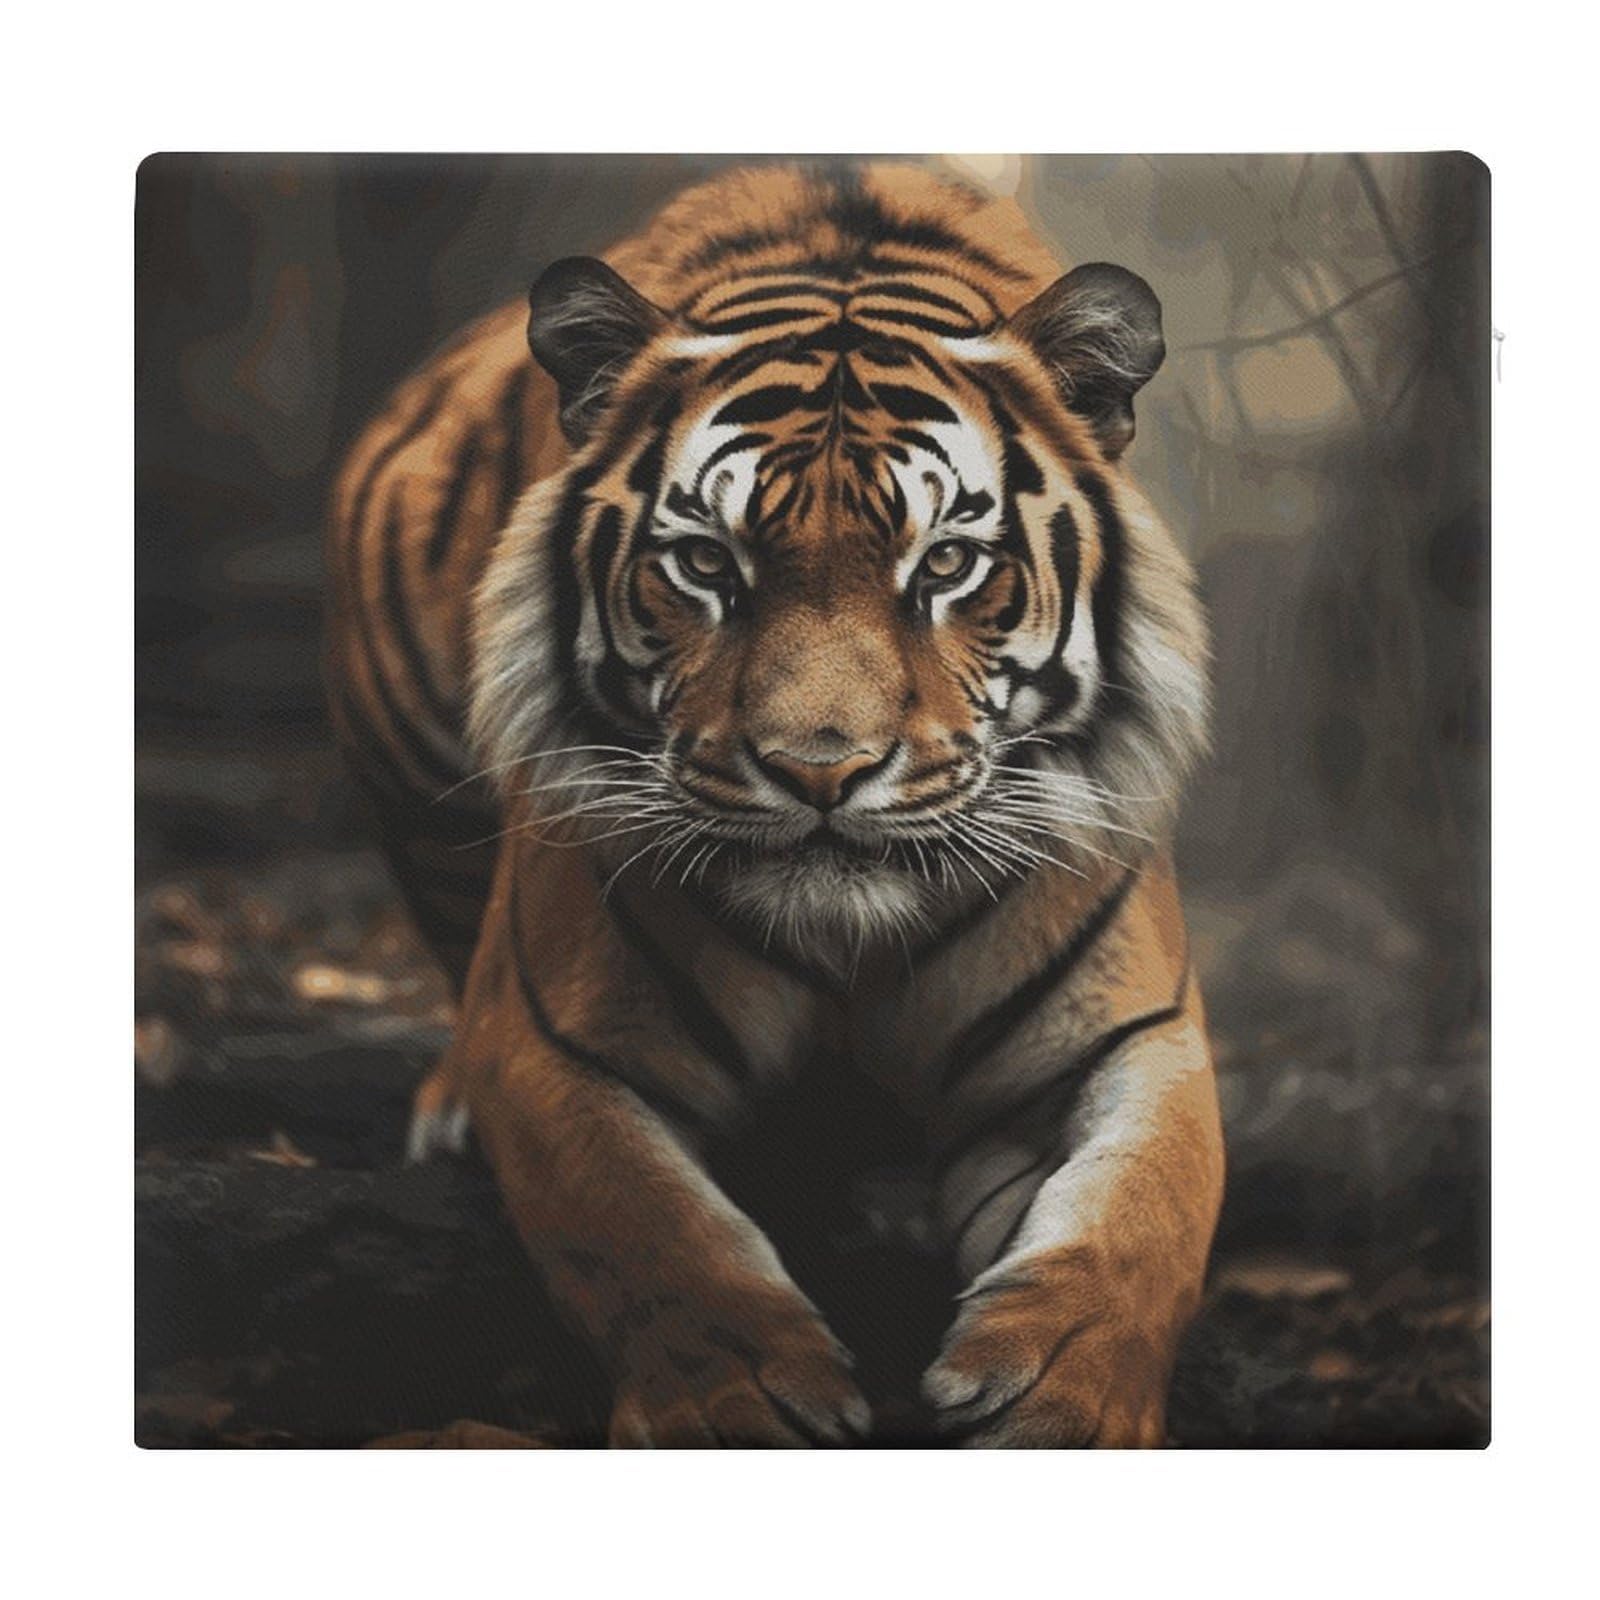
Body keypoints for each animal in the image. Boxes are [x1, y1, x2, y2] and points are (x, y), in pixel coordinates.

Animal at [324, 161, 1223, 1447]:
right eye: (707, 563)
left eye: (945, 564)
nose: (819, 769)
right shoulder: (559, 1047)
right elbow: (647, 1232)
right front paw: (735, 1400)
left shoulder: (1132, 1038)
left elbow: (1143, 1216)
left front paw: (1065, 1403)